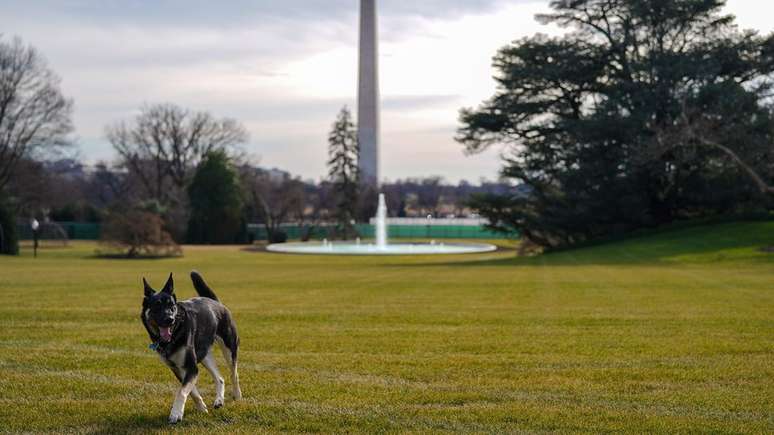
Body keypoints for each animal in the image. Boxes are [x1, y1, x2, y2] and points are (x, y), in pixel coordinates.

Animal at [142, 270, 242, 424]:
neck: (175, 332)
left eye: (172, 306)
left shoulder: (191, 367)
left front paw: (176, 413)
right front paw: (201, 408)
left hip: (229, 348)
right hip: (204, 356)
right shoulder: (179, 369)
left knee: (234, 373)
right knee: (220, 378)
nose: (170, 319)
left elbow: (181, 391)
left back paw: (237, 395)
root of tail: (216, 302)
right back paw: (219, 400)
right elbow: (191, 391)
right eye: (157, 306)